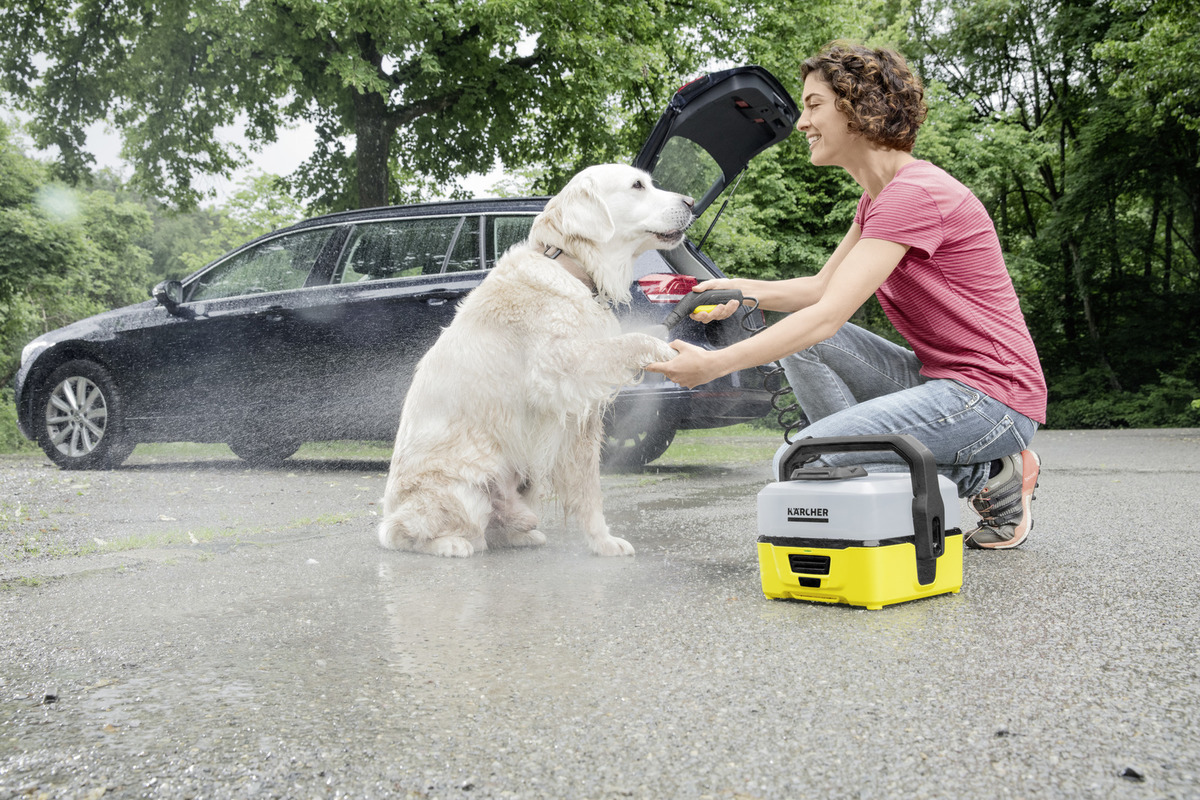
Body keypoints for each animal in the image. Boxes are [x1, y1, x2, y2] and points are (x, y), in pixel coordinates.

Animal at [379, 164, 691, 556]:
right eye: (637, 185)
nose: (691, 202)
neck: (571, 267)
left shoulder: (579, 419)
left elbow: (588, 490)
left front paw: (602, 541)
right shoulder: (560, 368)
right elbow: (630, 340)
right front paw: (665, 350)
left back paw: (521, 532)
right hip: (461, 488)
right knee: (411, 534)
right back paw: (450, 544)